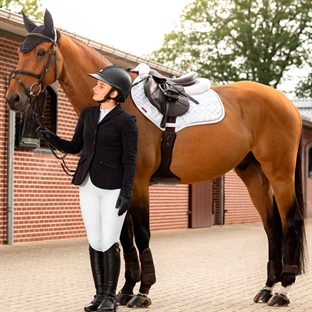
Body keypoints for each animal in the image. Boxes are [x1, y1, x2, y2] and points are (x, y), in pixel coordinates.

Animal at [5, 9, 308, 308]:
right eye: (20, 51)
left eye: (41, 52)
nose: (14, 98)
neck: (121, 104)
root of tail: (288, 104)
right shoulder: (120, 187)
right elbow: (124, 237)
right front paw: (126, 290)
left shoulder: (138, 183)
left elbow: (141, 234)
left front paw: (143, 291)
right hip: (253, 173)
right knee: (271, 226)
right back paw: (267, 287)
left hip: (279, 173)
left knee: (290, 222)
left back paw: (283, 290)